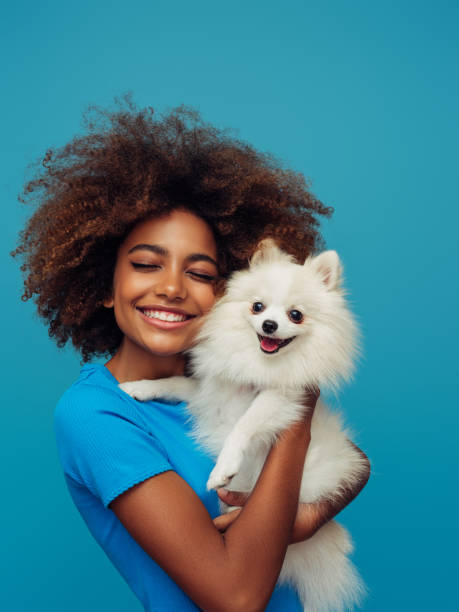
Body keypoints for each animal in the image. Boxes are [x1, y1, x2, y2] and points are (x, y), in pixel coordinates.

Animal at [119, 241, 370, 608]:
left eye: (296, 314)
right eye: (257, 306)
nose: (269, 324)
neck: (259, 363)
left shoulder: (282, 399)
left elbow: (243, 426)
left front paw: (223, 470)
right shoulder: (210, 391)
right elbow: (175, 382)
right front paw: (137, 387)